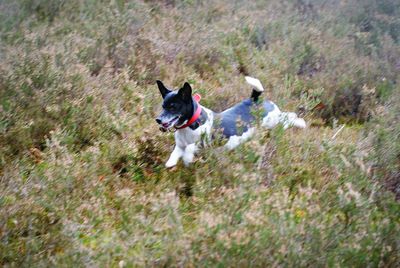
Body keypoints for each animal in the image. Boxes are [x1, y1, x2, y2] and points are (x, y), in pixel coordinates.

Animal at [155, 76, 304, 166]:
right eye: (163, 106)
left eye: (173, 107)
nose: (158, 119)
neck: (191, 124)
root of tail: (255, 100)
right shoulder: (180, 146)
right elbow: (175, 155)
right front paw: (171, 163)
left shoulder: (204, 143)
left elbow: (191, 147)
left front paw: (187, 157)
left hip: (274, 121)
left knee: (288, 117)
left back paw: (300, 122)